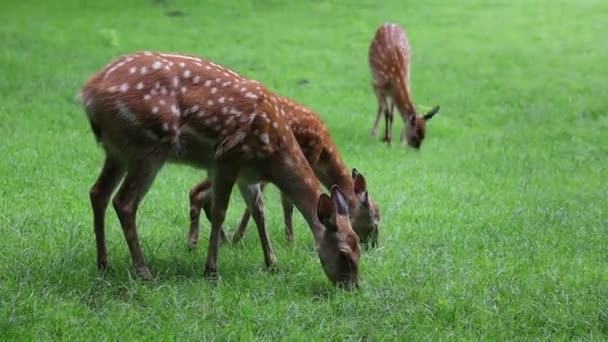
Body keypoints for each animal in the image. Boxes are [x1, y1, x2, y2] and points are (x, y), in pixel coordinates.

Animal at [78, 50, 358, 286]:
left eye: (359, 248)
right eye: (345, 254)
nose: (352, 287)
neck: (274, 154)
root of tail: (89, 93)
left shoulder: (248, 173)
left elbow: (258, 210)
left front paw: (272, 264)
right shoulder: (227, 158)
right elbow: (220, 210)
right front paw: (211, 269)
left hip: (117, 151)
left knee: (98, 192)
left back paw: (104, 264)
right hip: (149, 144)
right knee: (124, 202)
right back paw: (144, 271)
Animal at [188, 94, 380, 248]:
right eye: (374, 221)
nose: (372, 245)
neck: (323, 155)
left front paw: (238, 237)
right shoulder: (301, 158)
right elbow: (286, 202)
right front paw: (290, 241)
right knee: (197, 192)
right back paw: (198, 243)